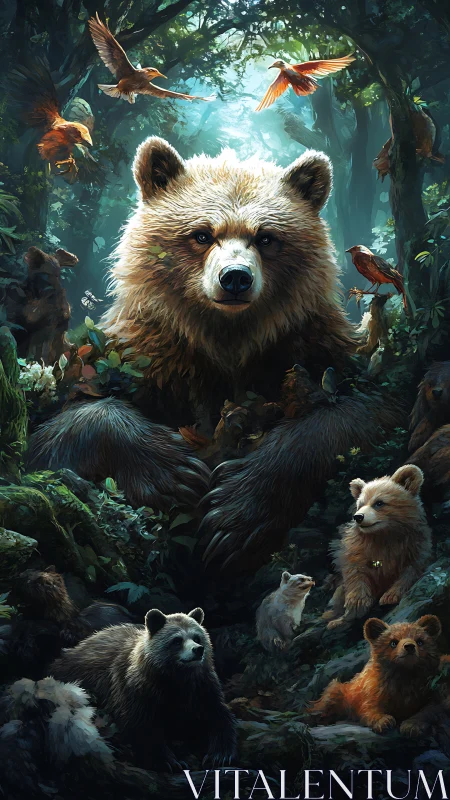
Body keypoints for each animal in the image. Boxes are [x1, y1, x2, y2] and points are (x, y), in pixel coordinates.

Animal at [30, 137, 400, 569]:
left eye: (266, 237)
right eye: (202, 235)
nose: (235, 277)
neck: (225, 340)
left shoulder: (311, 344)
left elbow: (363, 408)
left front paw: (236, 511)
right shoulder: (144, 351)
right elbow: (64, 420)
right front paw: (175, 474)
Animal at [50, 607, 236, 771]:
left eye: (197, 637)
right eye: (177, 640)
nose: (198, 650)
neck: (175, 678)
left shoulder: (201, 687)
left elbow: (218, 715)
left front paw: (219, 755)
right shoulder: (137, 688)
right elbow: (141, 724)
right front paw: (168, 761)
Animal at [310, 615, 450, 737]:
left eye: (420, 641)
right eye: (393, 642)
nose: (409, 647)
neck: (404, 674)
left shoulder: (428, 689)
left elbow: (430, 708)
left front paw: (411, 725)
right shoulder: (374, 690)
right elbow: (369, 707)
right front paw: (384, 721)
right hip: (338, 691)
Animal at [323, 465, 431, 629]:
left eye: (379, 503)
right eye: (360, 504)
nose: (358, 517)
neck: (383, 535)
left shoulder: (414, 545)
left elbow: (412, 569)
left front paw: (390, 595)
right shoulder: (359, 549)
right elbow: (355, 572)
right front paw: (357, 604)